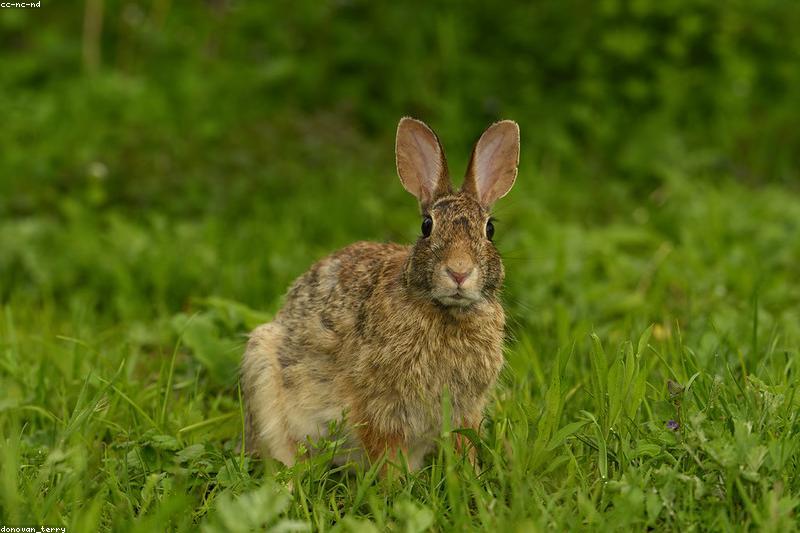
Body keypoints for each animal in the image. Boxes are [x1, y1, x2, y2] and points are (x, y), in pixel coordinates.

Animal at [241, 117, 520, 471]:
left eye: (490, 230)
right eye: (427, 226)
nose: (459, 271)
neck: (445, 312)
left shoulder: (465, 408)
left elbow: (463, 444)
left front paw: (470, 475)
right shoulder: (378, 406)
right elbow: (385, 454)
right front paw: (395, 484)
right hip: (261, 368)